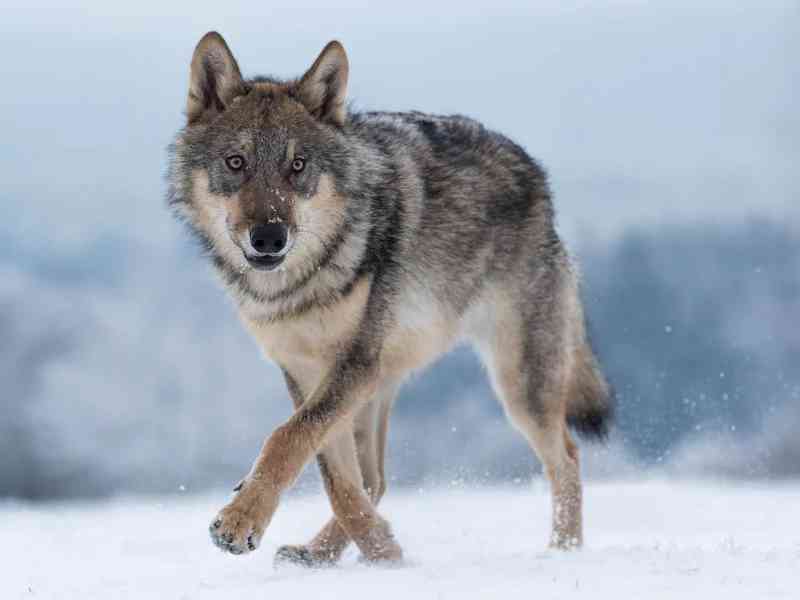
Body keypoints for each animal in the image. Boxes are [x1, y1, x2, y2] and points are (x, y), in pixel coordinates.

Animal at [167, 31, 612, 566]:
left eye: (298, 166)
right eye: (236, 163)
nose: (269, 238)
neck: (300, 286)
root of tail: (537, 176)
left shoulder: (353, 364)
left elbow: (287, 439)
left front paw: (240, 522)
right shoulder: (306, 371)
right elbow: (334, 476)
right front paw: (382, 550)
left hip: (517, 383)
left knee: (566, 457)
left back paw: (563, 551)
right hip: (384, 382)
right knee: (375, 479)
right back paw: (322, 553)